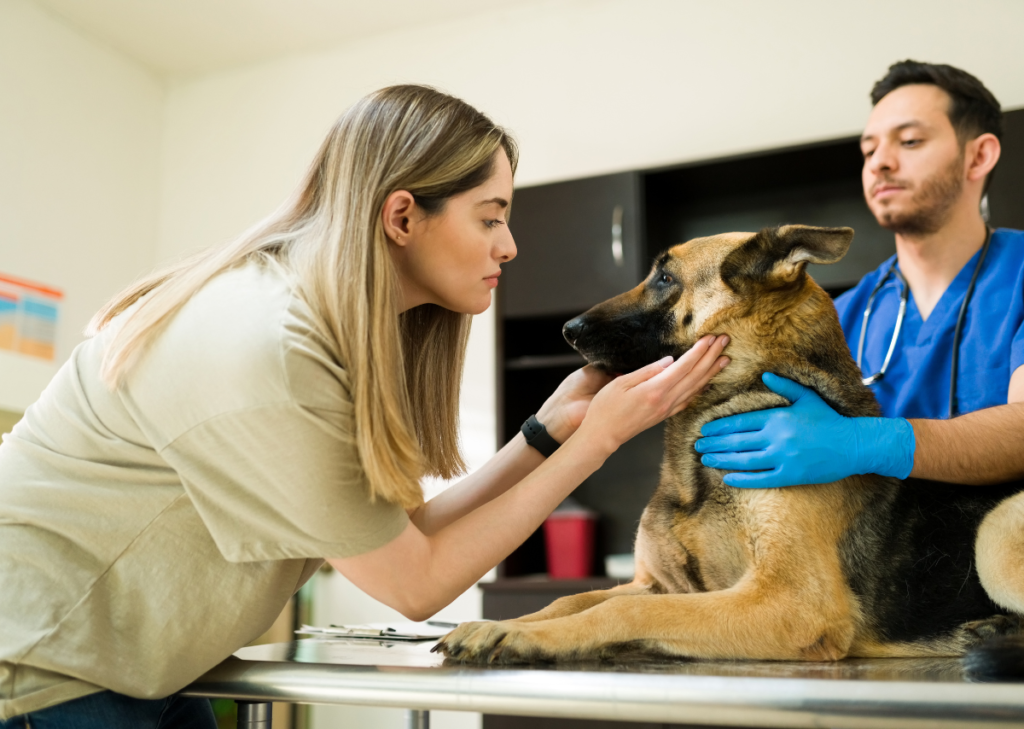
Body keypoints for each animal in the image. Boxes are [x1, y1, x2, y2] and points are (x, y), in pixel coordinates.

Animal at [436, 224, 1024, 673]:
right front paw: (497, 624)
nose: (567, 329)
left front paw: (519, 636)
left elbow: (618, 614)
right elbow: (569, 599)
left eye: (665, 277)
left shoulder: (790, 602)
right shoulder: (659, 585)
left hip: (994, 536)